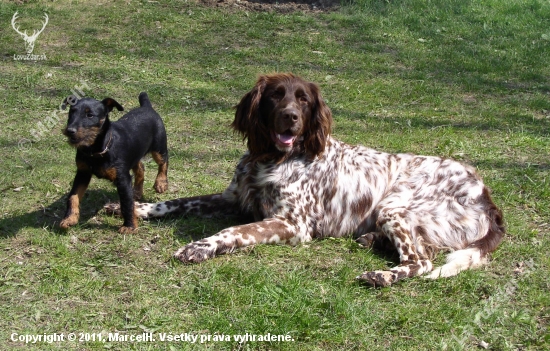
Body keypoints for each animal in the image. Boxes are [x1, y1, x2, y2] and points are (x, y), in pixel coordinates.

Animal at [60, 93, 168, 234]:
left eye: (90, 115)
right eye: (71, 112)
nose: (69, 130)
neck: (95, 151)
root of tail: (146, 106)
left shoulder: (122, 179)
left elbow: (126, 203)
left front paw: (129, 226)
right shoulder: (82, 173)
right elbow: (73, 197)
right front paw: (69, 219)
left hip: (158, 147)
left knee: (163, 162)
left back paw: (161, 183)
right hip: (134, 155)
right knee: (140, 168)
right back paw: (137, 192)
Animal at [105, 73, 506, 288]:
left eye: (303, 100)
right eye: (275, 96)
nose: (291, 117)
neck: (273, 158)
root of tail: (485, 194)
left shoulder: (291, 224)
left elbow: (234, 231)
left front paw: (200, 247)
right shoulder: (234, 197)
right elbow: (176, 201)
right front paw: (135, 208)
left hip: (396, 207)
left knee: (422, 261)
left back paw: (382, 274)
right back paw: (372, 240)